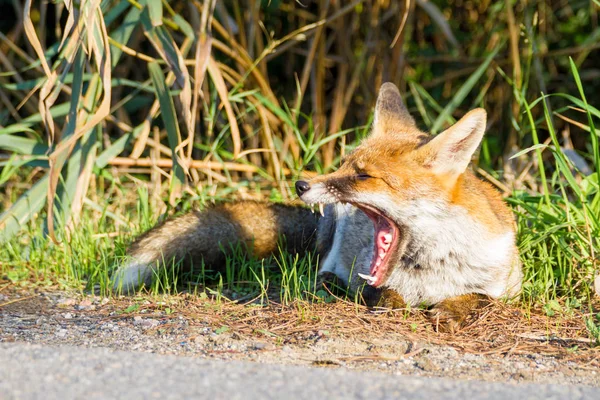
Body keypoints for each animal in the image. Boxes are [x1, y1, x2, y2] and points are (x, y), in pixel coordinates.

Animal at [112, 83, 520, 332]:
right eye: (342, 165)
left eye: (363, 176)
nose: (301, 184)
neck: (430, 269)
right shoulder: (366, 276)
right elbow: (380, 293)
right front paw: (391, 301)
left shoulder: (508, 284)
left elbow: (480, 297)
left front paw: (453, 309)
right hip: (331, 230)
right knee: (321, 270)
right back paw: (330, 284)